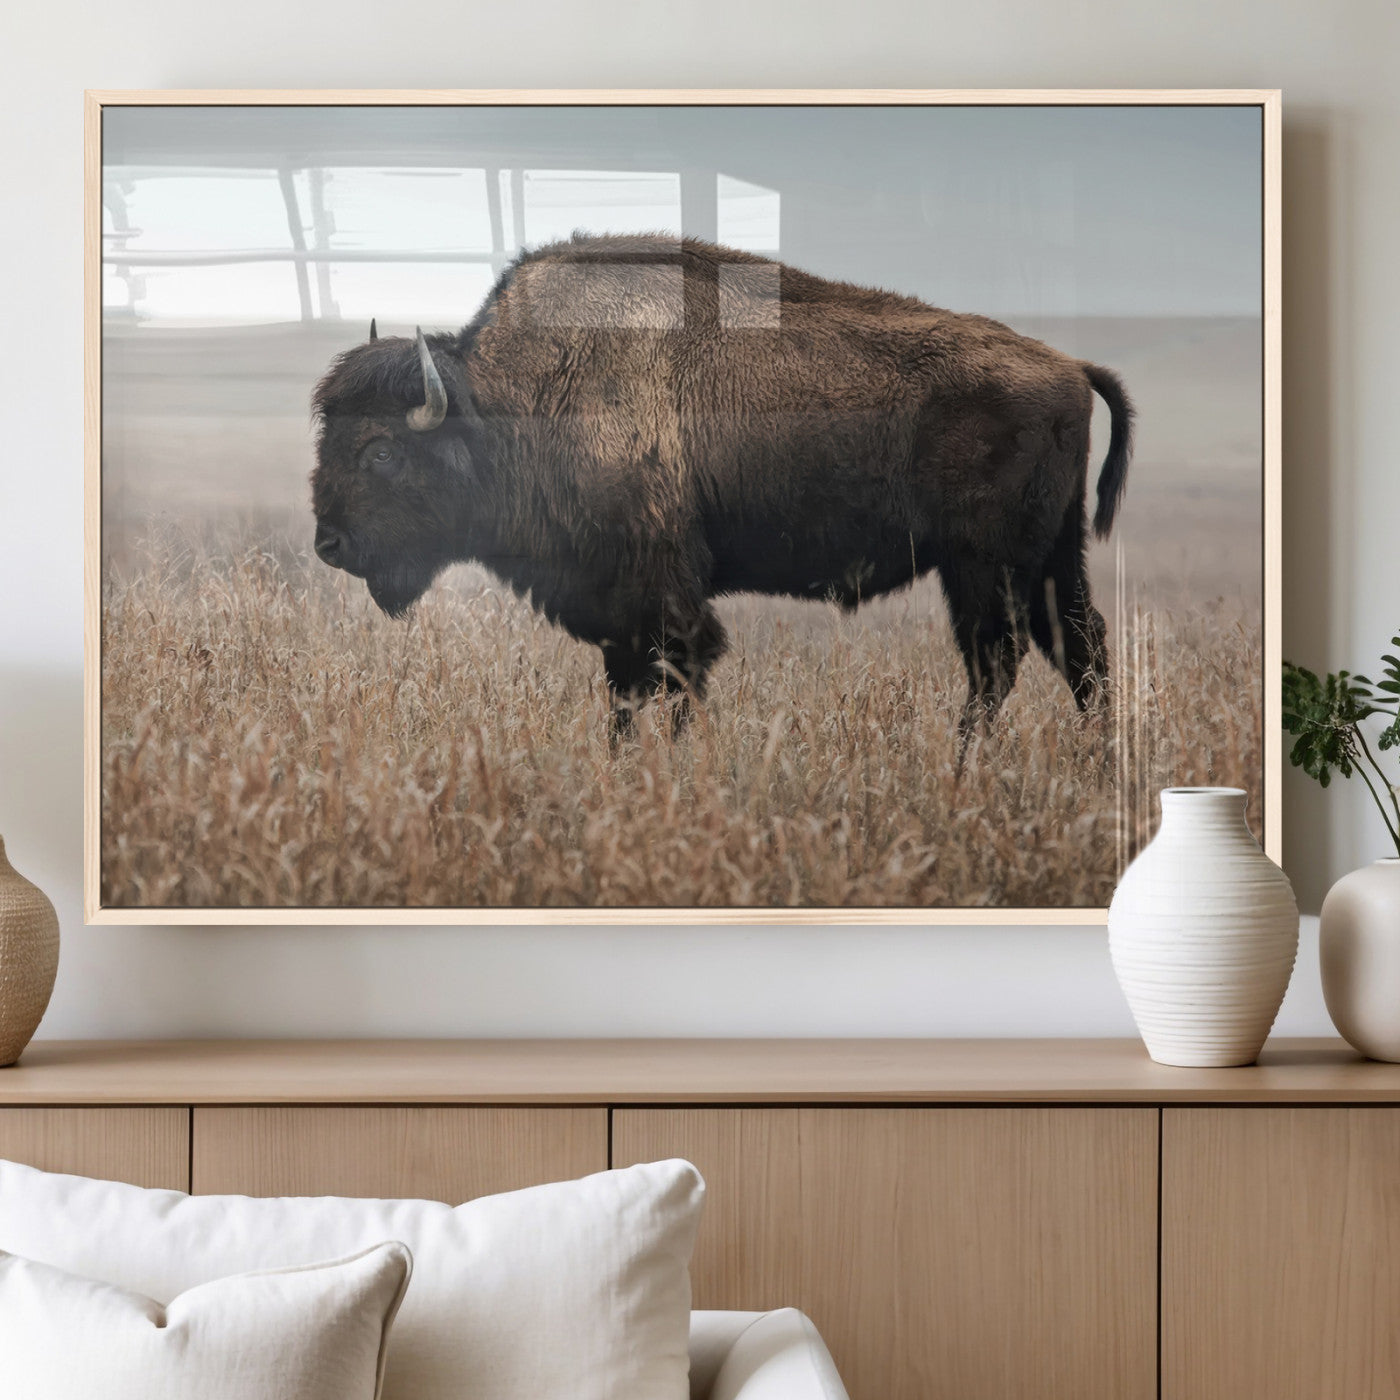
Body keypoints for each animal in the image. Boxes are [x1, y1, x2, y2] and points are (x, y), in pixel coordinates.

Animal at [311, 233, 1132, 739]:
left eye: (381, 452)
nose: (329, 545)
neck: (512, 402)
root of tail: (1068, 366)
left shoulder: (663, 599)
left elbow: (675, 681)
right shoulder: (620, 614)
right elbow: (626, 697)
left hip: (985, 567)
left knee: (999, 662)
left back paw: (968, 769)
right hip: (1050, 560)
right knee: (1079, 650)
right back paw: (1091, 764)